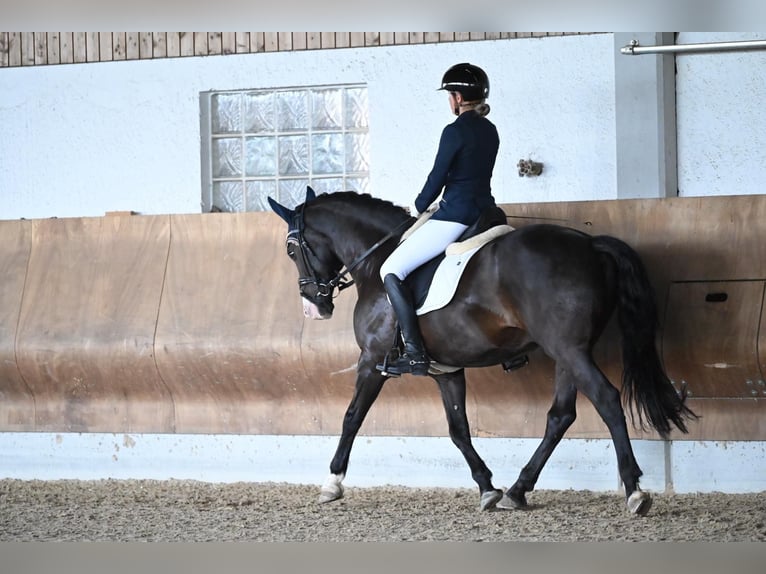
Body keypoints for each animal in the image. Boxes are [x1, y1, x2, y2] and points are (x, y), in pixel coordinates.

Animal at [268, 187, 697, 515]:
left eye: (290, 249)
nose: (315, 306)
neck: (377, 263)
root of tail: (591, 244)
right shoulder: (446, 370)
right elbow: (458, 429)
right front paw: (487, 487)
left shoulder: (372, 361)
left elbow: (352, 417)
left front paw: (332, 482)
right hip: (567, 352)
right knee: (560, 416)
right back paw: (517, 491)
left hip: (569, 350)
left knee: (607, 399)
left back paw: (635, 491)